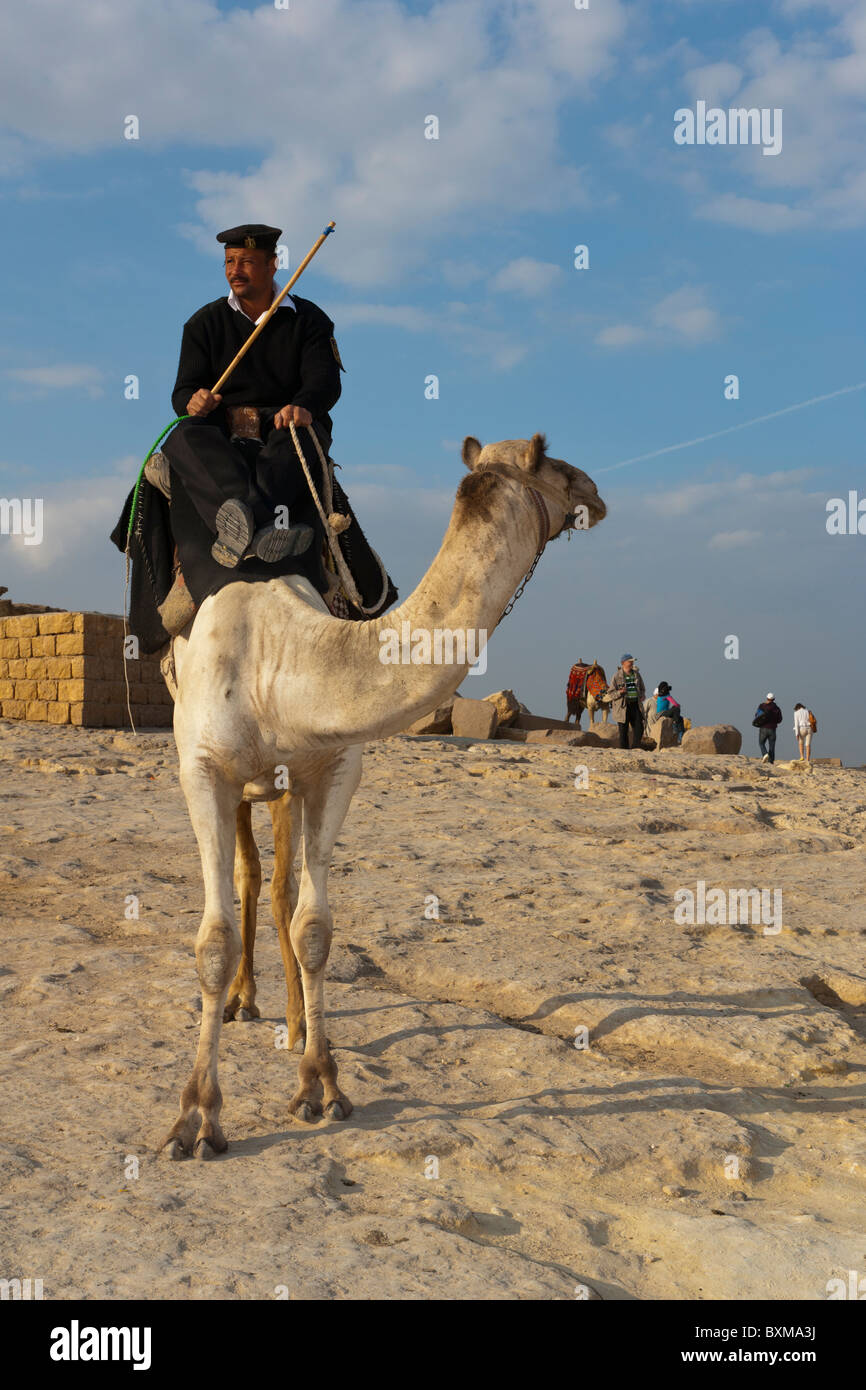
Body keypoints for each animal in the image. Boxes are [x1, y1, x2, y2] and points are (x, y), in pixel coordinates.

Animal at [159, 432, 605, 1158]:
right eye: (557, 465)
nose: (596, 492)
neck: (277, 659)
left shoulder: (333, 766)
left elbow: (313, 926)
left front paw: (320, 1085)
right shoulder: (201, 771)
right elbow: (213, 942)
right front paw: (196, 1119)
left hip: (280, 786)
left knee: (276, 886)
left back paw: (288, 1018)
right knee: (249, 877)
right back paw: (242, 1001)